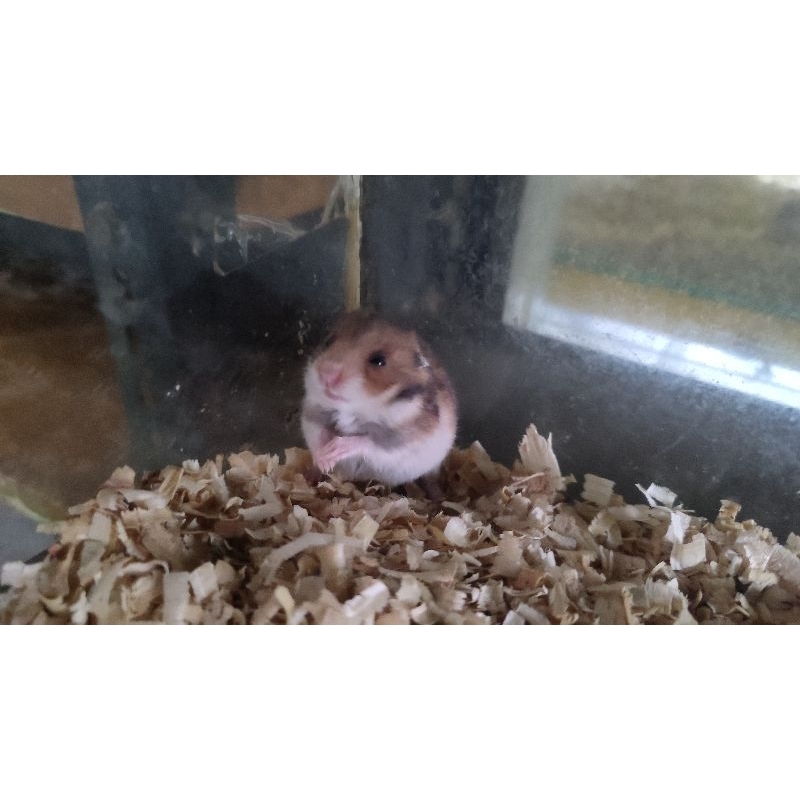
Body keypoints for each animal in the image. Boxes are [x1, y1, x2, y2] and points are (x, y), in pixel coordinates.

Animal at [301, 310, 458, 487]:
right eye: (328, 342)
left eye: (378, 360)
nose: (326, 374)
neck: (355, 408)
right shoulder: (312, 415)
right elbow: (319, 434)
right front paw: (324, 461)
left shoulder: (398, 442)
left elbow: (365, 441)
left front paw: (333, 449)